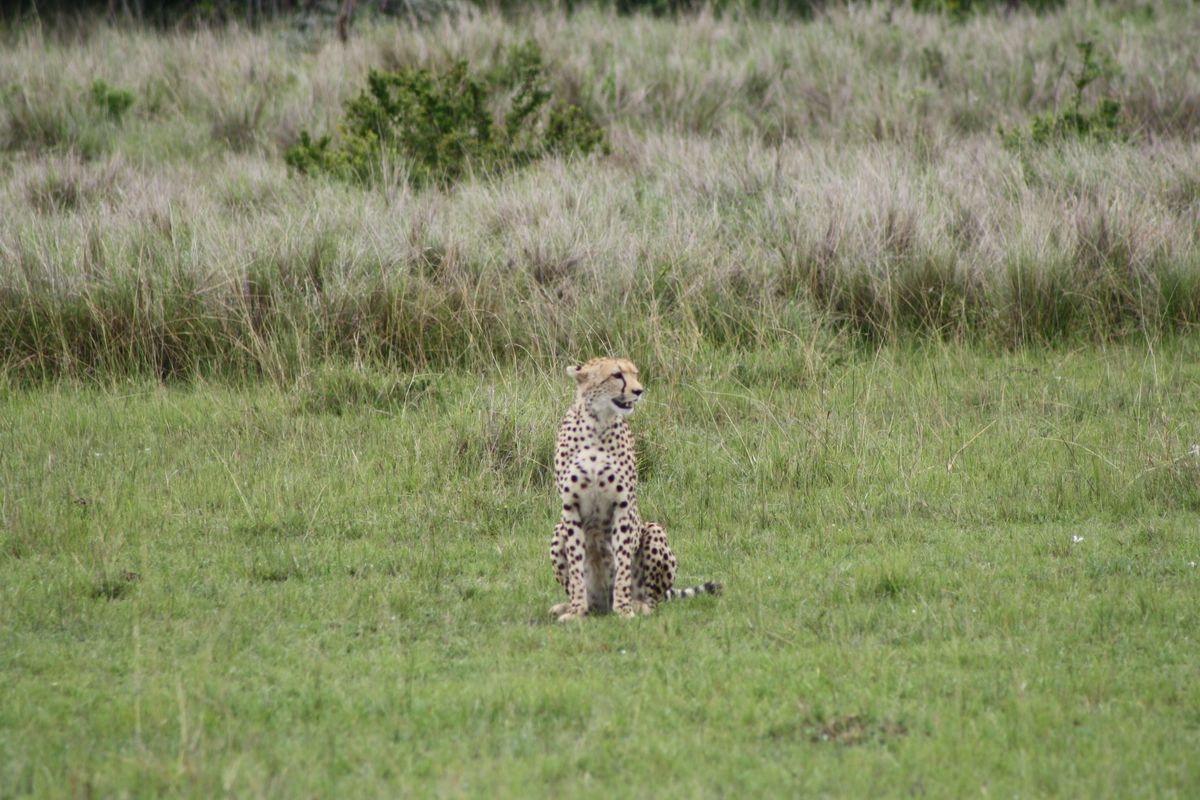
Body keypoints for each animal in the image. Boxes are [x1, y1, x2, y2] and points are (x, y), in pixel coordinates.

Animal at [549, 357, 715, 623]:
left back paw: (639, 604)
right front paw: (576, 611)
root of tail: (602, 602)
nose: (639, 391)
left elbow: (623, 564)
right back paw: (570, 606)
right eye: (617, 375)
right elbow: (576, 567)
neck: (597, 423)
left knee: (655, 598)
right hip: (557, 531)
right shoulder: (570, 509)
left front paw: (624, 610)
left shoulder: (623, 506)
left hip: (654, 529)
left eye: (635, 374)